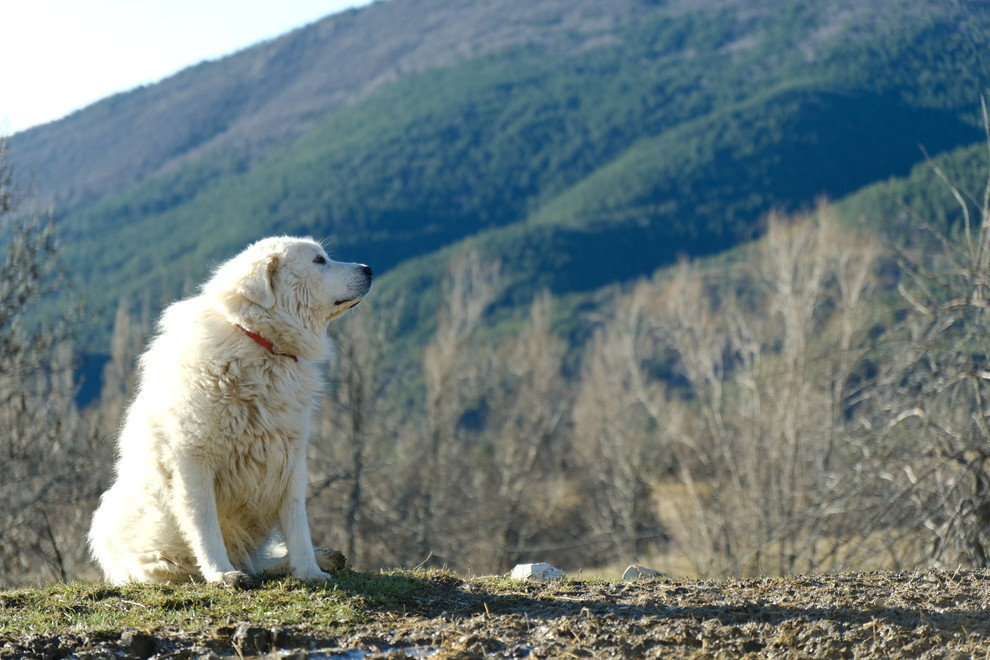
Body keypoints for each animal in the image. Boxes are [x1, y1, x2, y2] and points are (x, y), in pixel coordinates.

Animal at [88, 237, 372, 588]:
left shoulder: (290, 457)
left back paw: (322, 558)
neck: (259, 346)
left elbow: (297, 525)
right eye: (319, 260)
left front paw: (309, 571)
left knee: (258, 561)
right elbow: (205, 526)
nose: (369, 268)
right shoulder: (192, 462)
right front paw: (221, 573)